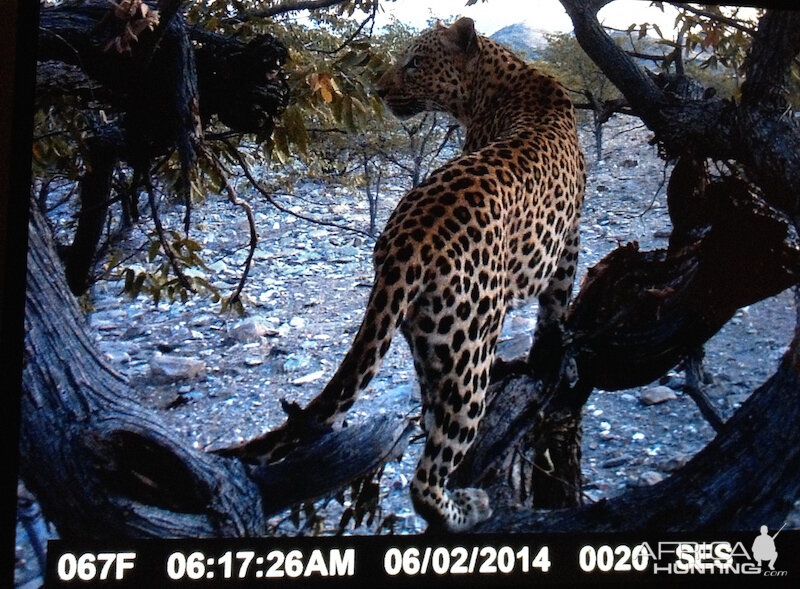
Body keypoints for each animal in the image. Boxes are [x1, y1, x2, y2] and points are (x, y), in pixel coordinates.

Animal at [234, 16, 584, 532]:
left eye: (415, 62)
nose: (380, 89)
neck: (497, 82)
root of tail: (408, 240)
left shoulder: (570, 235)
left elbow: (556, 305)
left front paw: (551, 355)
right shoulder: (570, 236)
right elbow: (556, 301)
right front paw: (550, 355)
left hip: (434, 340)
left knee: (431, 415)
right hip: (470, 348)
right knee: (428, 475)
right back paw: (466, 509)